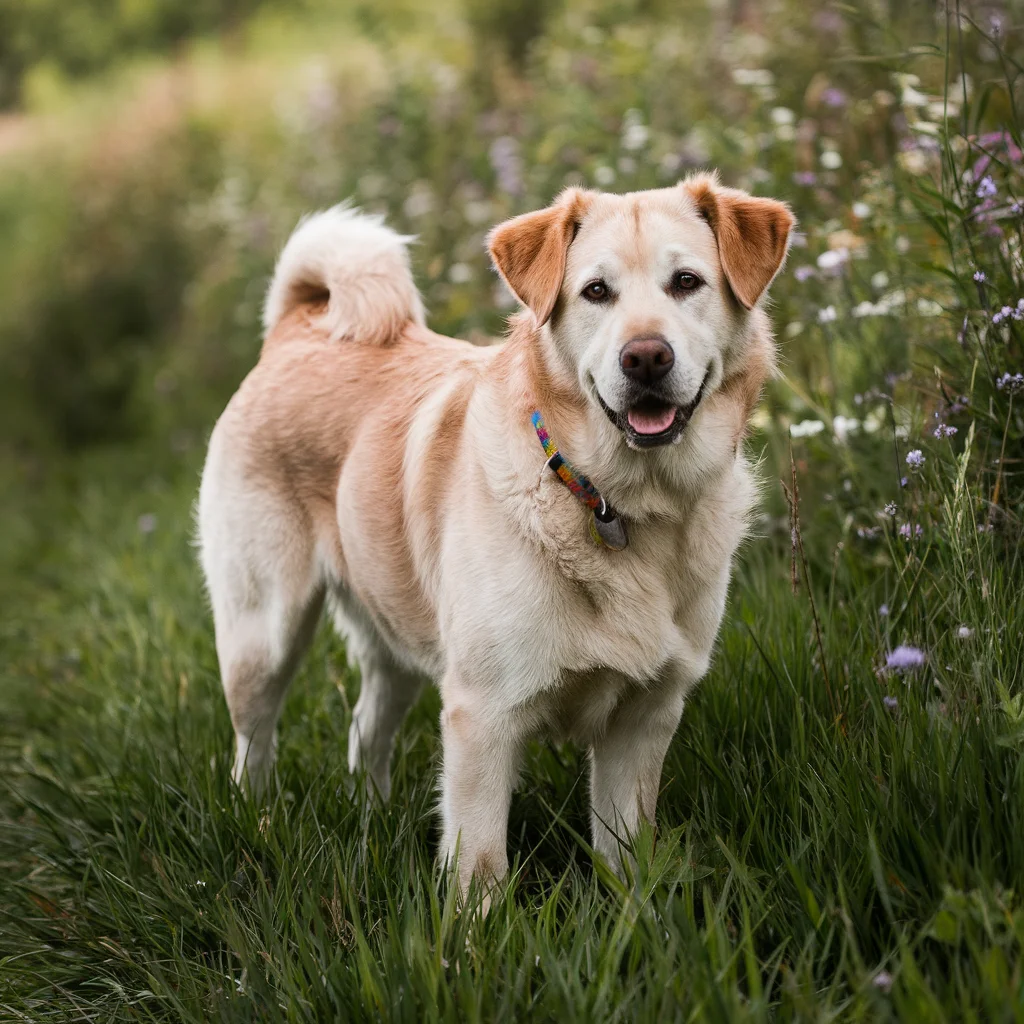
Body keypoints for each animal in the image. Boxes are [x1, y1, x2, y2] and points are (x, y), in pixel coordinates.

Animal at [197, 174, 790, 897]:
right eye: (597, 291)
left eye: (686, 282)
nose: (646, 357)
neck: (614, 501)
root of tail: (296, 329)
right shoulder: (483, 717)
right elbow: (481, 866)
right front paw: (474, 929)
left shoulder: (644, 718)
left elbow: (627, 857)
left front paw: (637, 914)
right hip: (263, 635)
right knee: (252, 745)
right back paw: (256, 825)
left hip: (394, 641)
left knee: (366, 730)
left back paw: (371, 820)